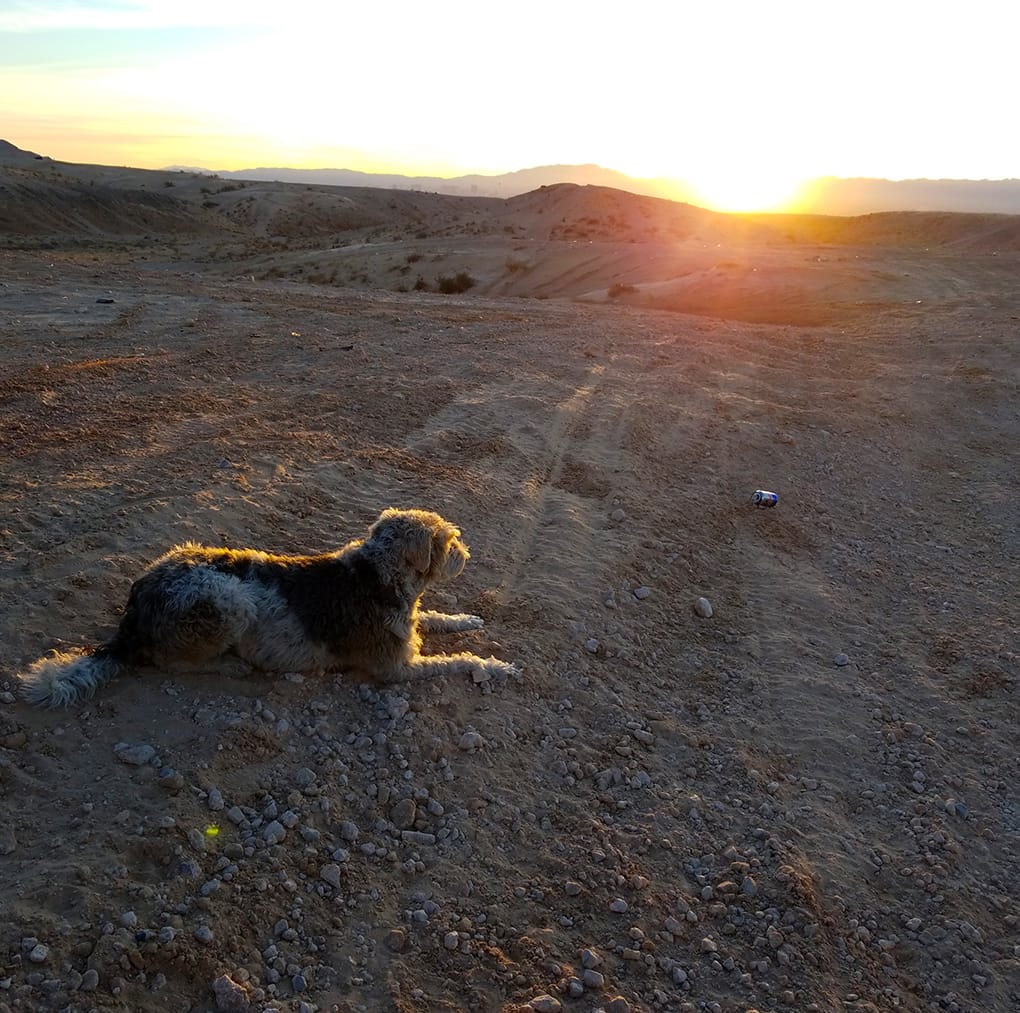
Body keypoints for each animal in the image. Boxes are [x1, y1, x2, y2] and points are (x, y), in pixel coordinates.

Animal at [19, 510, 518, 705]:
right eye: (448, 542)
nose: (466, 554)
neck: (377, 573)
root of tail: (137, 606)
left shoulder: (409, 629)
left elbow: (435, 620)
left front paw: (466, 618)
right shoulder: (396, 669)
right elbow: (459, 661)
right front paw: (497, 665)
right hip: (227, 601)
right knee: (172, 661)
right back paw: (231, 665)